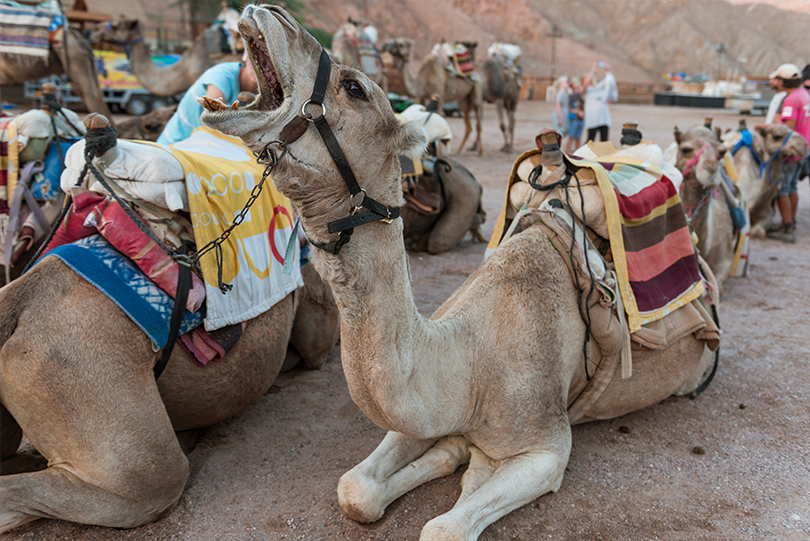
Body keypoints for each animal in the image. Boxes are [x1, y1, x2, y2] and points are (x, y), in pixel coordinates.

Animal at [200, 6, 720, 536]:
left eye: (355, 88)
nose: (271, 12)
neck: (472, 363)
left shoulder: (547, 449)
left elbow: (443, 526)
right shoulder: (425, 414)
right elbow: (356, 489)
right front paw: (448, 455)